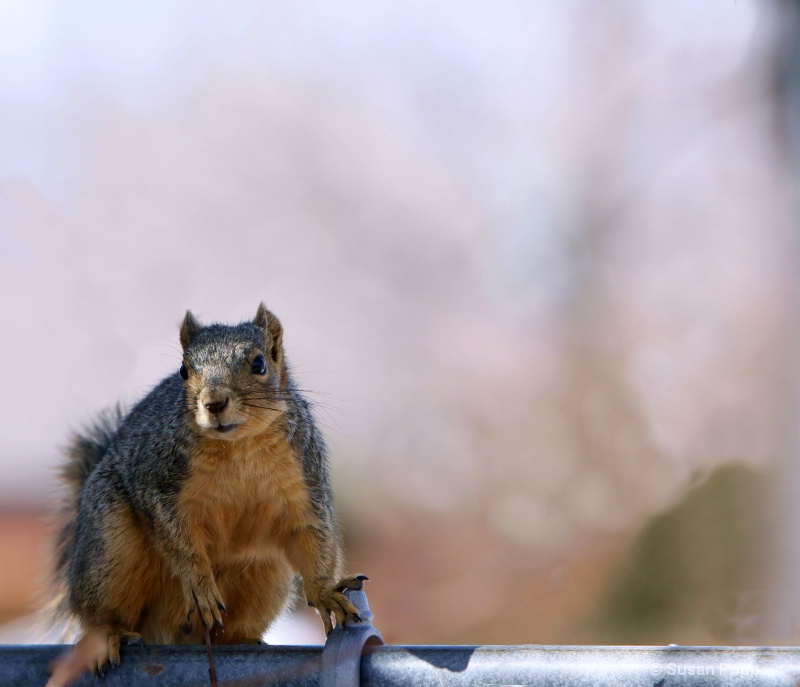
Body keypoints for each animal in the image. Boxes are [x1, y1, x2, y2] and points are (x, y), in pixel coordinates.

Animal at [47, 306, 366, 687]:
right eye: (184, 370)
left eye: (259, 364)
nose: (213, 403)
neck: (238, 447)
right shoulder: (157, 484)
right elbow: (178, 542)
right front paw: (199, 585)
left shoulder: (306, 486)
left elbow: (314, 540)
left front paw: (325, 594)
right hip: (108, 548)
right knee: (99, 614)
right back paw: (109, 634)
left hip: (264, 575)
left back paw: (243, 641)